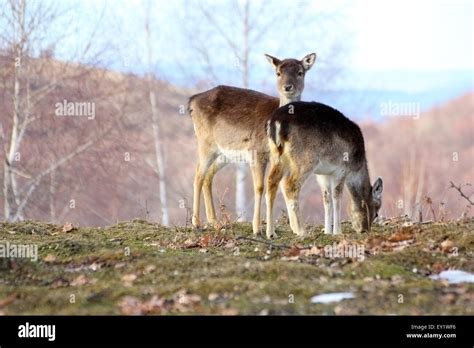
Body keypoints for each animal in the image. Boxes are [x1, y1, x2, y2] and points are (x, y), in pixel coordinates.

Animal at [187, 53, 316, 234]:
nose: (288, 87)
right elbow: (259, 187)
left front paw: (292, 228)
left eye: (300, 72)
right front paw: (257, 228)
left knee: (208, 175)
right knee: (198, 174)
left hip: (225, 153)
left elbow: (279, 185)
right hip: (205, 142)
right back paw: (196, 222)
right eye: (278, 72)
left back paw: (215, 222)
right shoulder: (257, 151)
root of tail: (192, 101)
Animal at [264, 100, 384, 237]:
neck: (355, 169)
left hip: (276, 156)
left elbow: (326, 199)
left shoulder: (323, 175)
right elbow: (336, 198)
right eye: (376, 213)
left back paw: (271, 233)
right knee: (289, 184)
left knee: (271, 182)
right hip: (305, 160)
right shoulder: (341, 171)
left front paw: (327, 231)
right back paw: (301, 231)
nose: (365, 230)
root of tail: (275, 121)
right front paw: (337, 231)